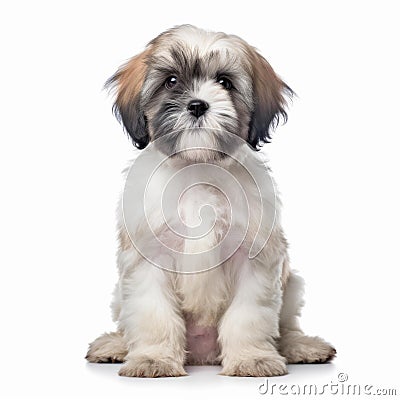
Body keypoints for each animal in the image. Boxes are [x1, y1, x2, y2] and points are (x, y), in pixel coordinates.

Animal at [86, 25, 336, 378]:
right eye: (171, 81)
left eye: (225, 82)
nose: (197, 105)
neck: (198, 164)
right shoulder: (148, 257)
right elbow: (153, 312)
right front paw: (153, 359)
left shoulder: (254, 258)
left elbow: (248, 314)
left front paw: (250, 359)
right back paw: (114, 346)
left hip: (292, 285)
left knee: (286, 325)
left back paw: (300, 346)